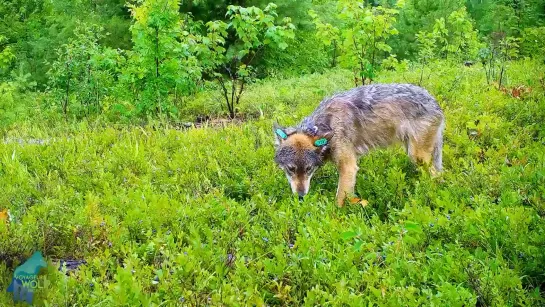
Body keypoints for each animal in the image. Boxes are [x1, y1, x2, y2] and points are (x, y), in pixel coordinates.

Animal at [274, 83, 444, 207]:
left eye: (309, 169)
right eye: (290, 169)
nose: (301, 196)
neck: (327, 125)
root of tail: (435, 102)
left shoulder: (348, 167)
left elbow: (339, 200)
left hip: (417, 156)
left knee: (435, 175)